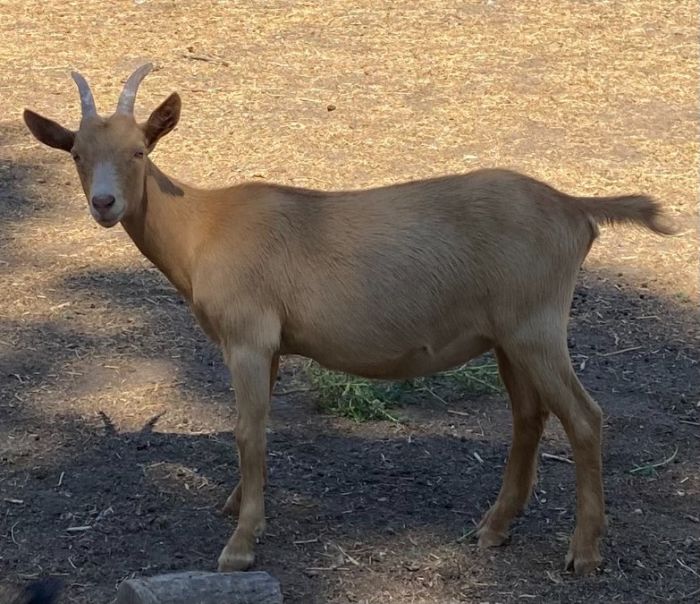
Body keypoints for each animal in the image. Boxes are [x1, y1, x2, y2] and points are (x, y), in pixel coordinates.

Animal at [24, 62, 676, 576]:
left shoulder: (247, 337)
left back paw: (583, 553)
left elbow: (248, 430)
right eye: (77, 154)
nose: (104, 203)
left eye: (139, 150)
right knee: (528, 417)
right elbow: (256, 428)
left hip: (536, 325)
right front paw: (238, 506)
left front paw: (240, 545)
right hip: (509, 334)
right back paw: (493, 529)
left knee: (585, 419)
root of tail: (573, 208)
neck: (201, 227)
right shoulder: (271, 343)